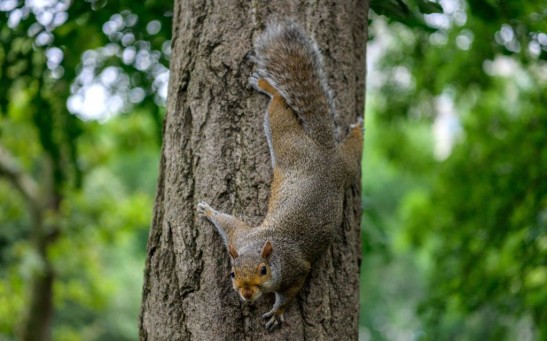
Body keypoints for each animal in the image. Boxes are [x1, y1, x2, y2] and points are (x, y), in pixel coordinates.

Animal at [198, 20, 364, 330]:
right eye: (232, 273)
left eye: (263, 270)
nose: (246, 293)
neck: (266, 249)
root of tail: (323, 149)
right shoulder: (241, 237)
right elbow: (229, 223)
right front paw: (209, 211)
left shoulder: (295, 270)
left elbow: (289, 294)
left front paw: (276, 312)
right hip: (337, 161)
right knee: (352, 147)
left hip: (292, 144)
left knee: (279, 106)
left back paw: (267, 87)